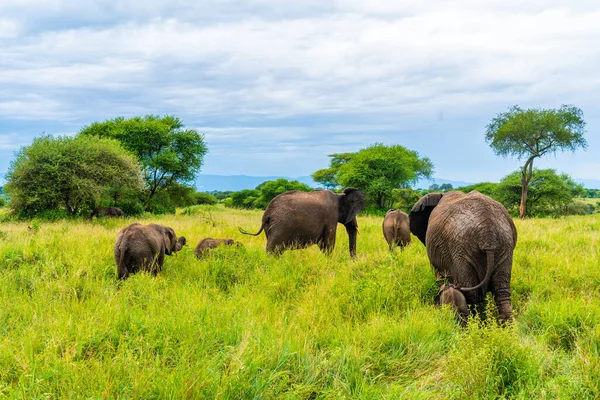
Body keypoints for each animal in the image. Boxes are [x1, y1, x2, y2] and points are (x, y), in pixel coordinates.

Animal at [410, 190, 516, 322]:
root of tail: (488, 233)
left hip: (461, 250)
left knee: (471, 293)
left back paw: (474, 323)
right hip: (504, 245)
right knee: (502, 291)